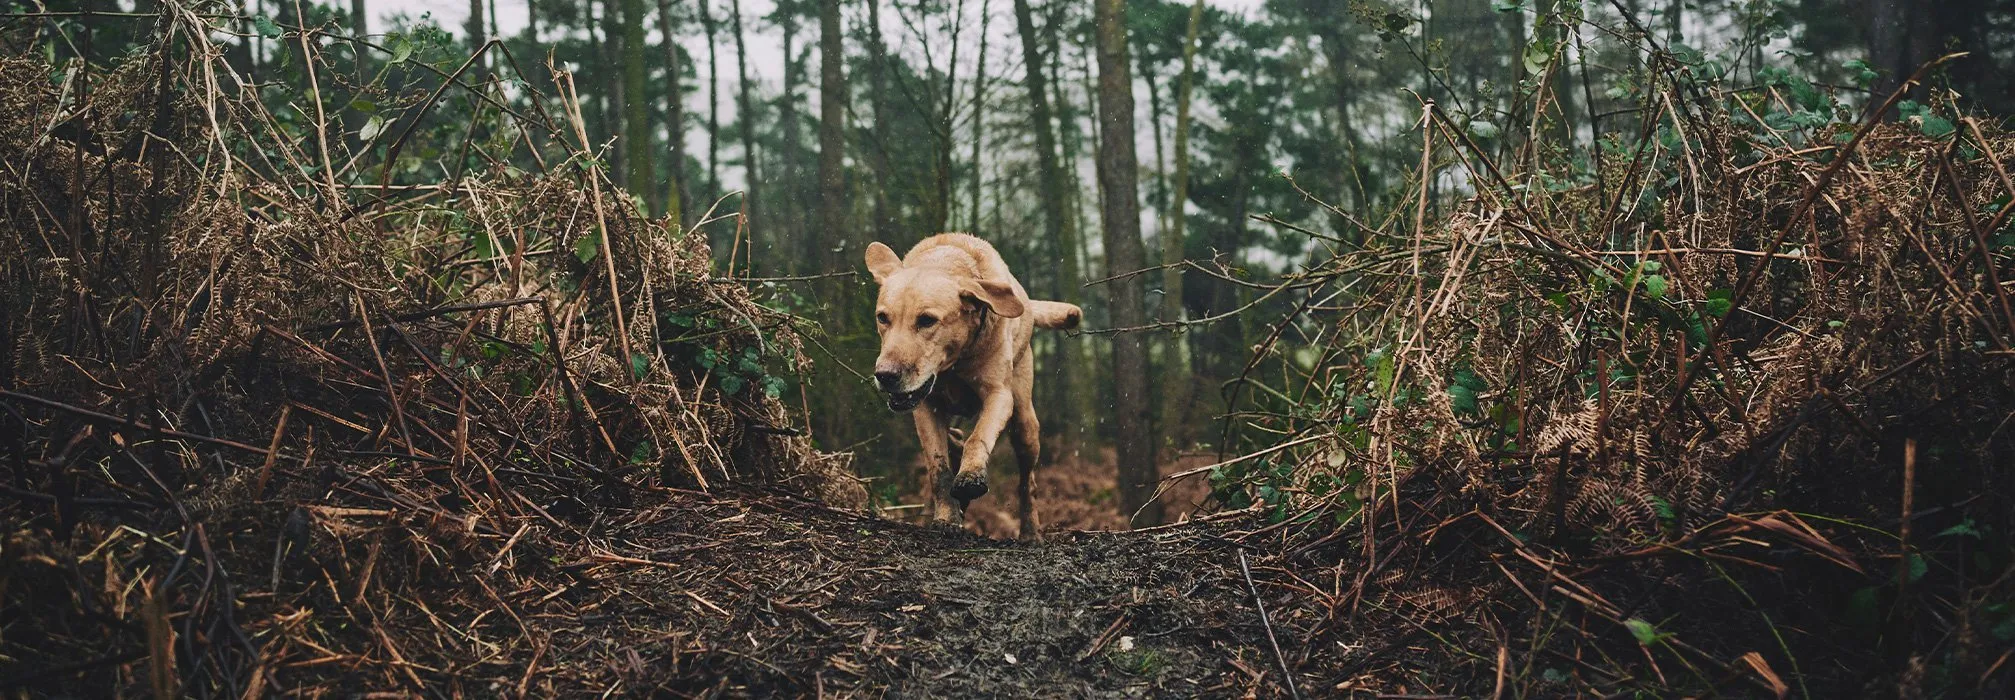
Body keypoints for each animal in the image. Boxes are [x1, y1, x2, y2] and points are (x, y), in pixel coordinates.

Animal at [866, 232, 1088, 540]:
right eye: (882, 318)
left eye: (927, 320)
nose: (885, 375)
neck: (953, 364)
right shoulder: (926, 407)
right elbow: (938, 467)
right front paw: (946, 515)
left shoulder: (999, 395)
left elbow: (979, 437)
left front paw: (971, 476)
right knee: (953, 442)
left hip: (1025, 424)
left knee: (1027, 483)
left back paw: (1030, 532)